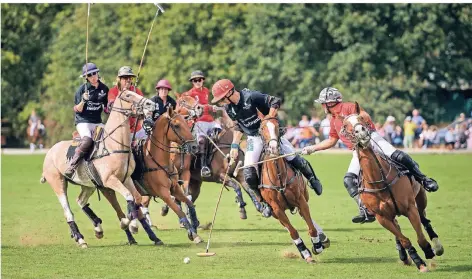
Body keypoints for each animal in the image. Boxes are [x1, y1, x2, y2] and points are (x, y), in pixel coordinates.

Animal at [39, 89, 157, 247]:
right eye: (127, 95)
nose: (151, 104)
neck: (115, 145)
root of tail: (50, 151)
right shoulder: (109, 180)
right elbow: (128, 196)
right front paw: (131, 224)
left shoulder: (126, 179)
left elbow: (135, 198)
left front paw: (129, 222)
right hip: (58, 183)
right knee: (68, 211)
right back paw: (80, 238)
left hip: (88, 185)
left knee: (80, 201)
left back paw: (98, 228)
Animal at [258, 115, 328, 264]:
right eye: (261, 128)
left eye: (278, 126)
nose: (273, 148)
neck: (278, 176)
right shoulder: (277, 209)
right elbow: (292, 231)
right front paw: (305, 253)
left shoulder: (301, 201)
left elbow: (311, 228)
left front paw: (317, 246)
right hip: (273, 212)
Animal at [340, 102, 442, 272]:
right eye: (345, 125)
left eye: (361, 118)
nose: (361, 132)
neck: (380, 181)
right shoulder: (382, 218)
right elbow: (404, 239)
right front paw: (418, 261)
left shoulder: (409, 208)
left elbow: (420, 237)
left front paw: (428, 252)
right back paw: (404, 256)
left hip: (420, 196)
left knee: (424, 219)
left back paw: (437, 246)